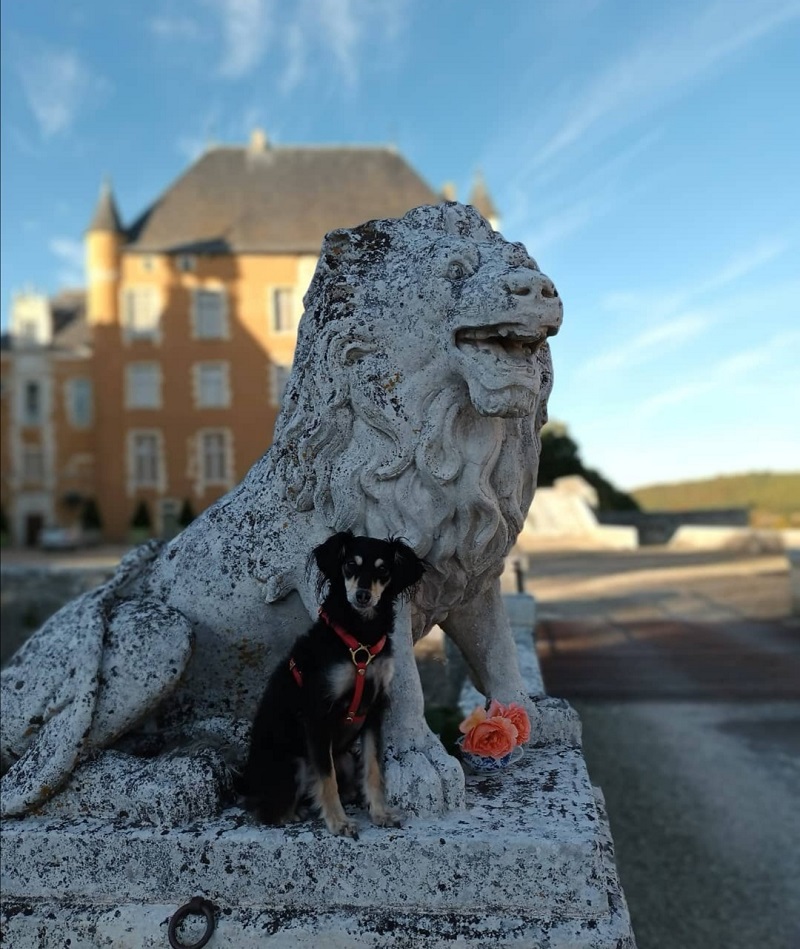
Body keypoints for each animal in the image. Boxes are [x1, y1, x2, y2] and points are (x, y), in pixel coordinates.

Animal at [236, 532, 424, 836]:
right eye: (350, 565)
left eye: (383, 569)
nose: (362, 595)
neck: (361, 638)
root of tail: (247, 784)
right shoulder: (318, 714)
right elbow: (326, 778)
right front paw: (338, 822)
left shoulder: (374, 709)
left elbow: (373, 768)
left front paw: (380, 813)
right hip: (296, 762)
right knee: (266, 811)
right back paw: (292, 813)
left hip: (345, 757)